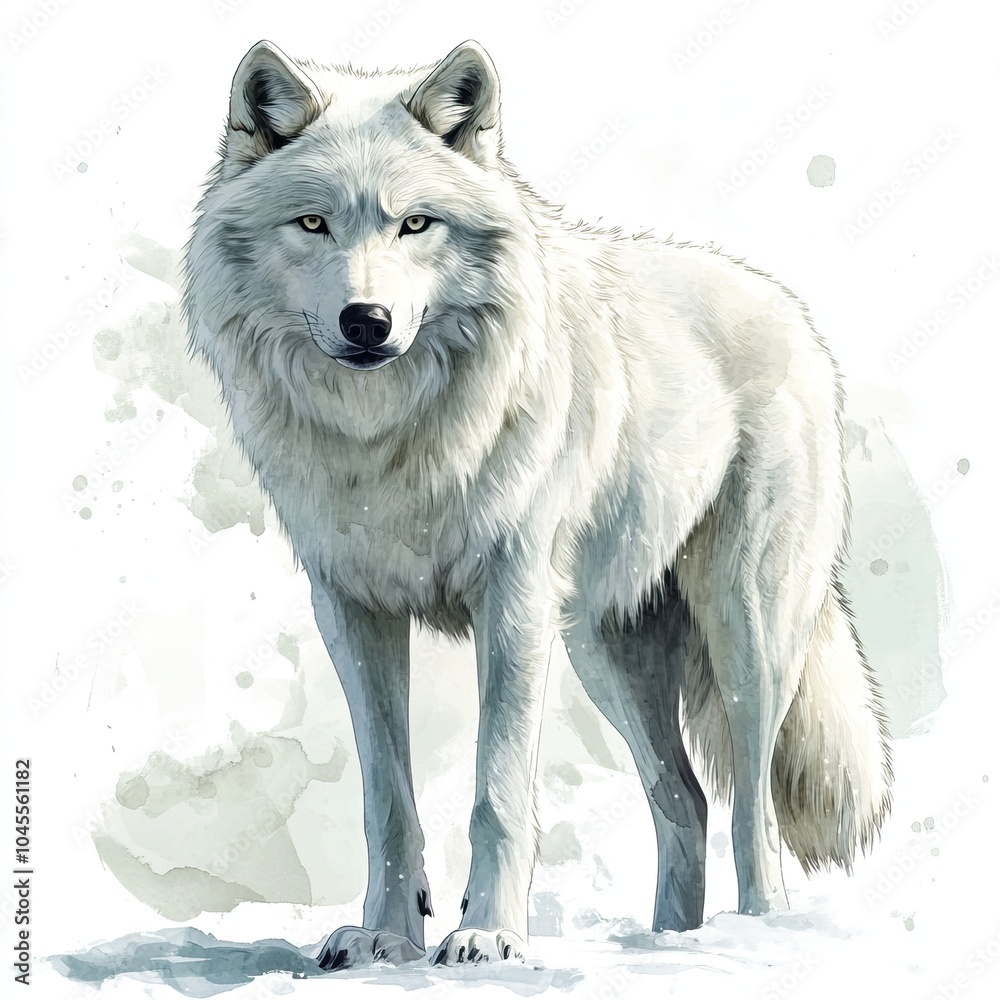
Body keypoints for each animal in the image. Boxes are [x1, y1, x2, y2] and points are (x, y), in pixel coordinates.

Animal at [183, 39, 892, 968]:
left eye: (416, 225)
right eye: (313, 224)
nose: (367, 320)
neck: (392, 438)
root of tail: (787, 307)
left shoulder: (512, 600)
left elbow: (497, 792)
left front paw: (487, 934)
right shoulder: (352, 610)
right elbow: (388, 802)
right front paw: (384, 938)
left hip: (745, 631)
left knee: (751, 809)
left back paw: (756, 934)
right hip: (605, 649)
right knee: (685, 799)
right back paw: (666, 942)